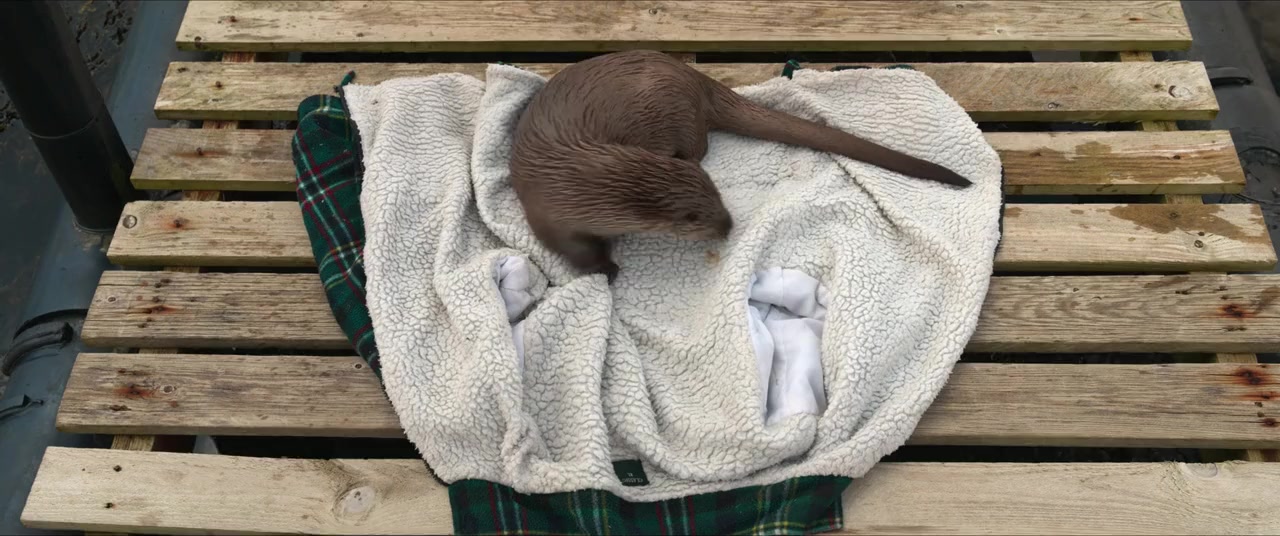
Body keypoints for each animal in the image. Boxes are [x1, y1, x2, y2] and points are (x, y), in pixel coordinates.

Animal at [509, 50, 970, 282]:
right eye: (694, 218)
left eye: (719, 193)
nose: (729, 225)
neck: (574, 180)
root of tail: (693, 77)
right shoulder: (551, 217)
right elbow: (576, 252)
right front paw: (607, 268)